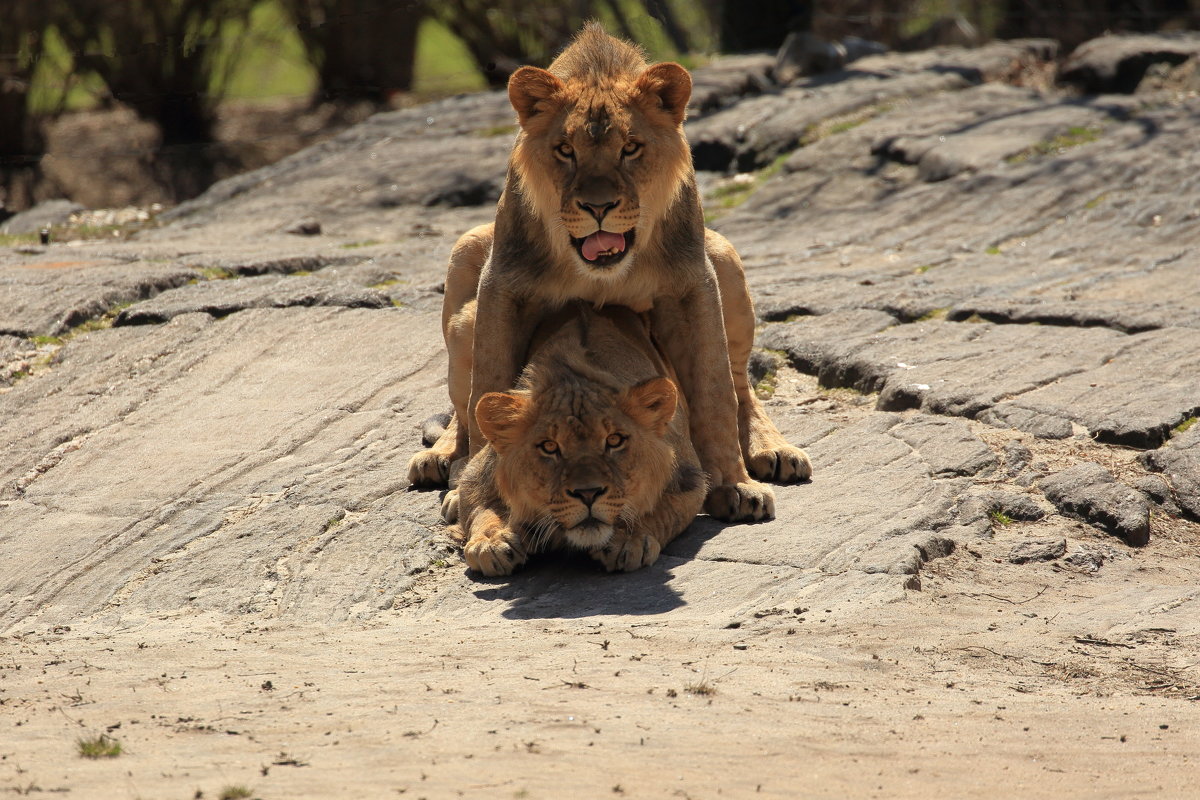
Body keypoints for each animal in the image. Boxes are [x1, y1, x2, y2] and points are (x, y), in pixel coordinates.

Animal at [408, 21, 811, 522]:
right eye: (565, 151)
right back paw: (442, 457)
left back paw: (773, 448)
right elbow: (488, 387)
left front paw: (735, 485)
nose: (598, 207)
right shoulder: (503, 283)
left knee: (741, 385)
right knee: (462, 410)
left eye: (630, 149)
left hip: (724, 256)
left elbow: (715, 392)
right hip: (466, 254)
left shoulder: (691, 281)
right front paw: (476, 488)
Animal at [446, 302, 705, 575]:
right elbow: (479, 506)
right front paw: (492, 542)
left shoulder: (689, 480)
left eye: (615, 440)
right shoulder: (480, 471)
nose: (588, 493)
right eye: (549, 447)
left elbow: (662, 512)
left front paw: (628, 541)